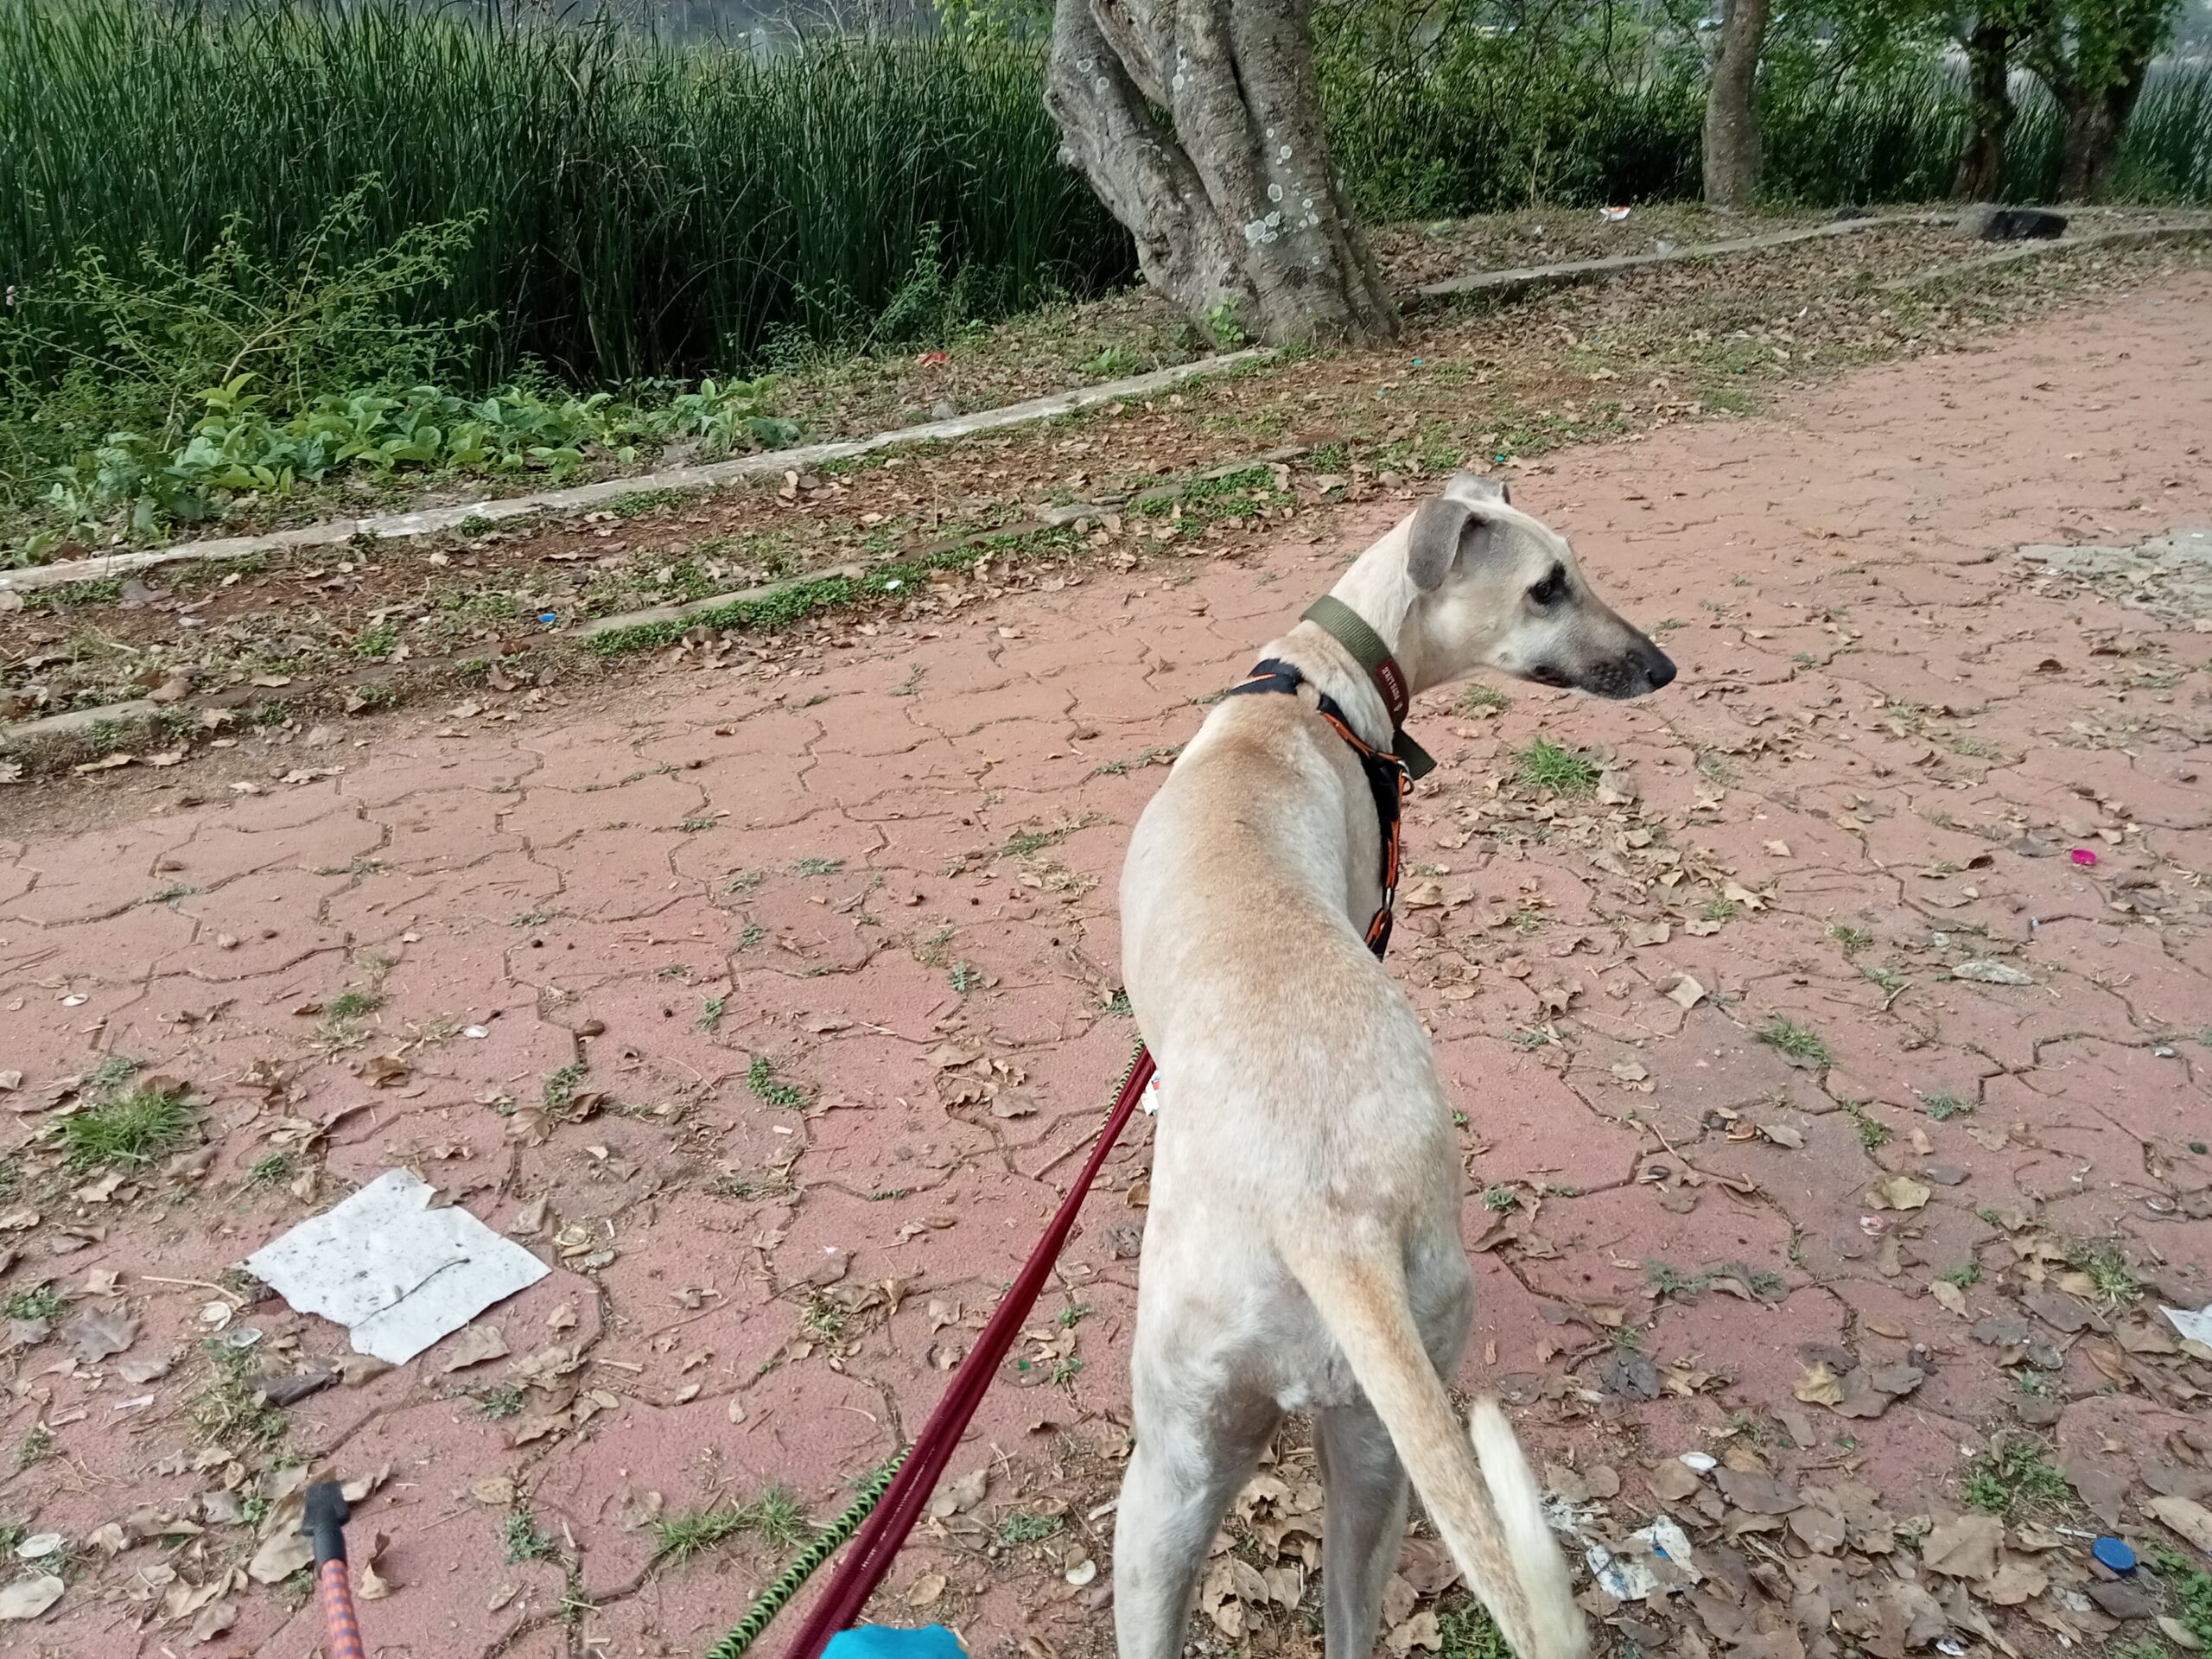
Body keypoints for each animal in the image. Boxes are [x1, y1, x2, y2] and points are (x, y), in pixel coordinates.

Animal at [1115, 473, 1663, 1659]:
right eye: (1548, 584)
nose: (1663, 666)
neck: (1309, 689)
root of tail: (1334, 1226)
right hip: (1371, 1455)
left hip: (1176, 1460)